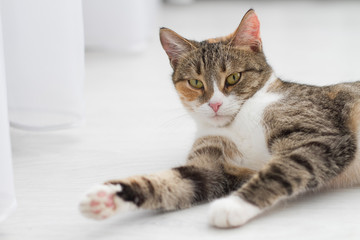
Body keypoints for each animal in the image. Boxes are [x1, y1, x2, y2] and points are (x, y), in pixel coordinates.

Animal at [79, 8, 360, 227]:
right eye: (195, 82)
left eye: (233, 78)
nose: (215, 104)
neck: (237, 122)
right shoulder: (214, 163)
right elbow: (178, 180)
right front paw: (108, 197)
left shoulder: (320, 134)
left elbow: (283, 169)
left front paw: (232, 206)